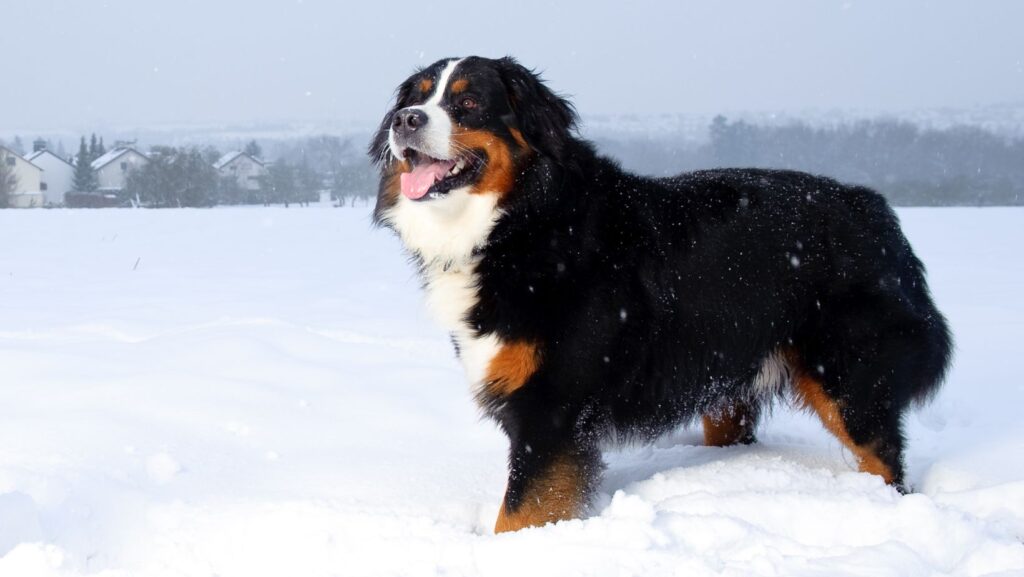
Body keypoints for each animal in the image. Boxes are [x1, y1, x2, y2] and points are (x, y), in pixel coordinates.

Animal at [366, 56, 950, 537]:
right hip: (728, 382)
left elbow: (519, 513)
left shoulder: (551, 408)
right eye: (416, 97)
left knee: (884, 458)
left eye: (468, 102)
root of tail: (875, 209)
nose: (406, 121)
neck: (522, 223)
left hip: (849, 376)